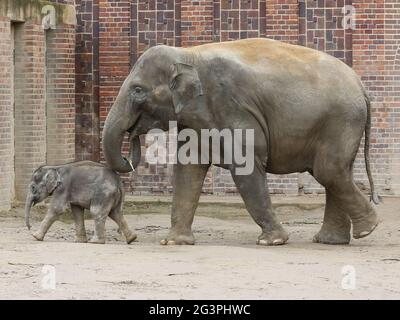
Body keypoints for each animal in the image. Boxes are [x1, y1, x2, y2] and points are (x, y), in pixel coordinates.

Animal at [102, 38, 378, 246]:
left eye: (138, 90)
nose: (132, 138)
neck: (188, 54)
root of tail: (361, 85)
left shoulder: (233, 107)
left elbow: (245, 168)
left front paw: (272, 241)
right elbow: (188, 170)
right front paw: (174, 242)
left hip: (340, 120)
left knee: (328, 171)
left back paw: (367, 229)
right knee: (336, 173)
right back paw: (332, 240)